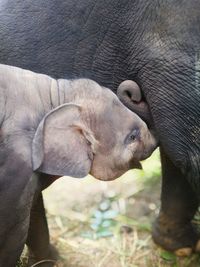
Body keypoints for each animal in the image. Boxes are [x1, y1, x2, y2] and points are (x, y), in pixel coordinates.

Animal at [0, 63, 156, 266]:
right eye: (132, 137)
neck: (56, 96)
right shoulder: (18, 160)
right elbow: (13, 228)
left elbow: (34, 210)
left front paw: (51, 260)